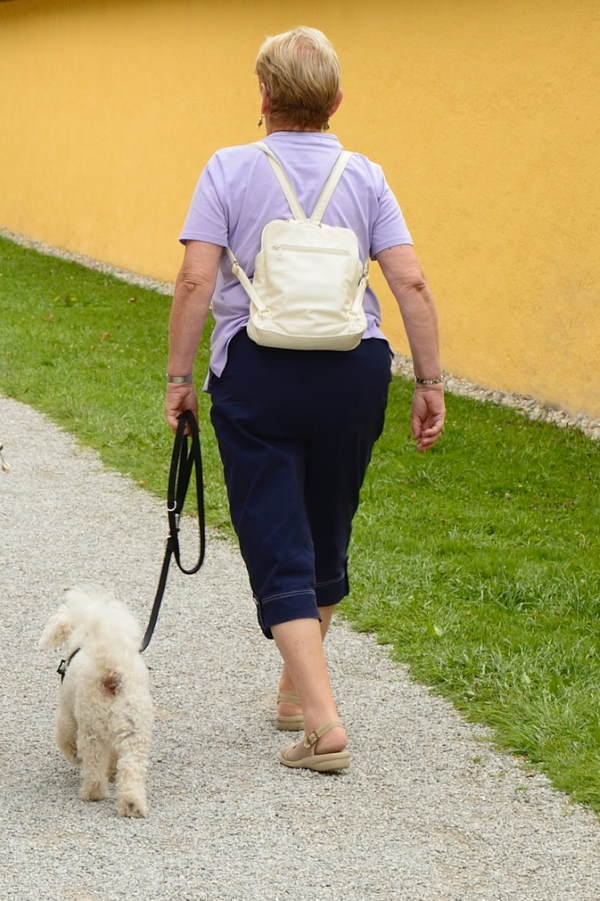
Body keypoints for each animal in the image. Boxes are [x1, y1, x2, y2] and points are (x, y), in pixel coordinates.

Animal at [39, 588, 154, 820]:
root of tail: (111, 670)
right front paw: (112, 773)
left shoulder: (67, 716)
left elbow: (66, 740)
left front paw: (75, 756)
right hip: (134, 728)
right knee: (131, 767)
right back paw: (132, 804)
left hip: (92, 727)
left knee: (93, 763)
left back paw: (93, 793)